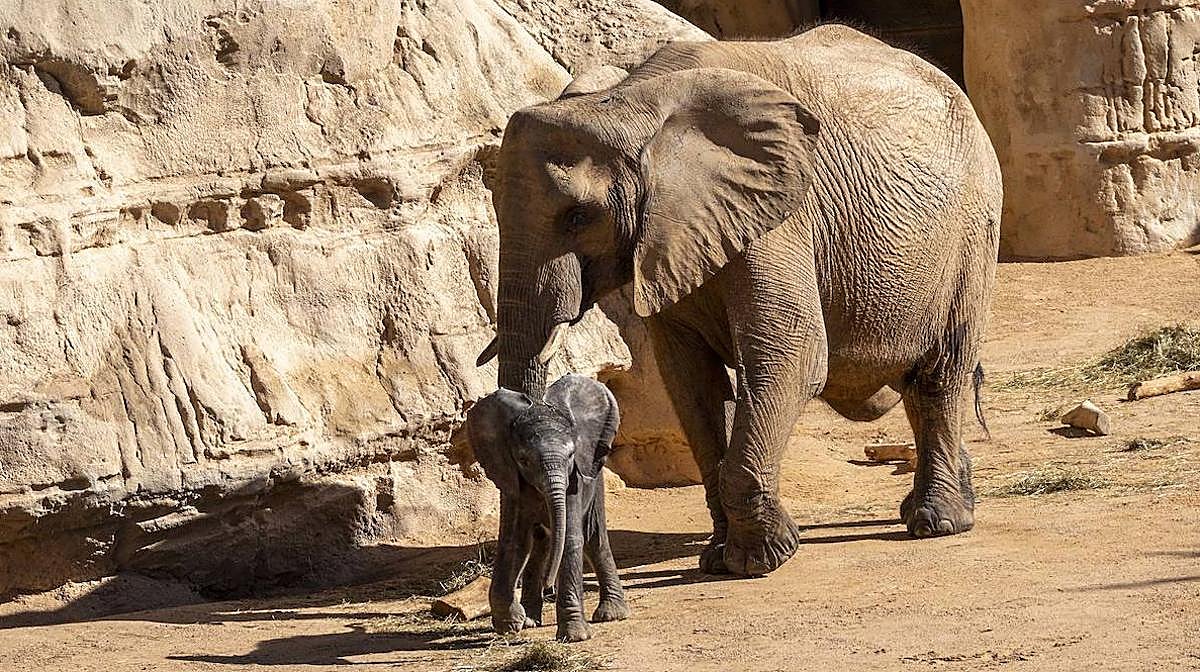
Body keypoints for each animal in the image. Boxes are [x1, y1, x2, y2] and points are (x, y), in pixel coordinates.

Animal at [466, 374, 629, 642]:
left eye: (572, 455)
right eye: (523, 460)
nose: (549, 586)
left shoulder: (573, 483)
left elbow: (572, 539)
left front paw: (574, 637)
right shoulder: (511, 483)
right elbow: (513, 542)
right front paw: (511, 623)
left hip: (595, 481)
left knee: (593, 538)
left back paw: (612, 614)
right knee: (541, 542)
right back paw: (531, 619)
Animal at [476, 25, 1003, 577]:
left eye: (578, 217)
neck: (627, 103)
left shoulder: (781, 215)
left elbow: (790, 357)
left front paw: (760, 559)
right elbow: (689, 380)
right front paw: (717, 558)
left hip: (974, 231)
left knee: (939, 374)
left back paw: (936, 523)